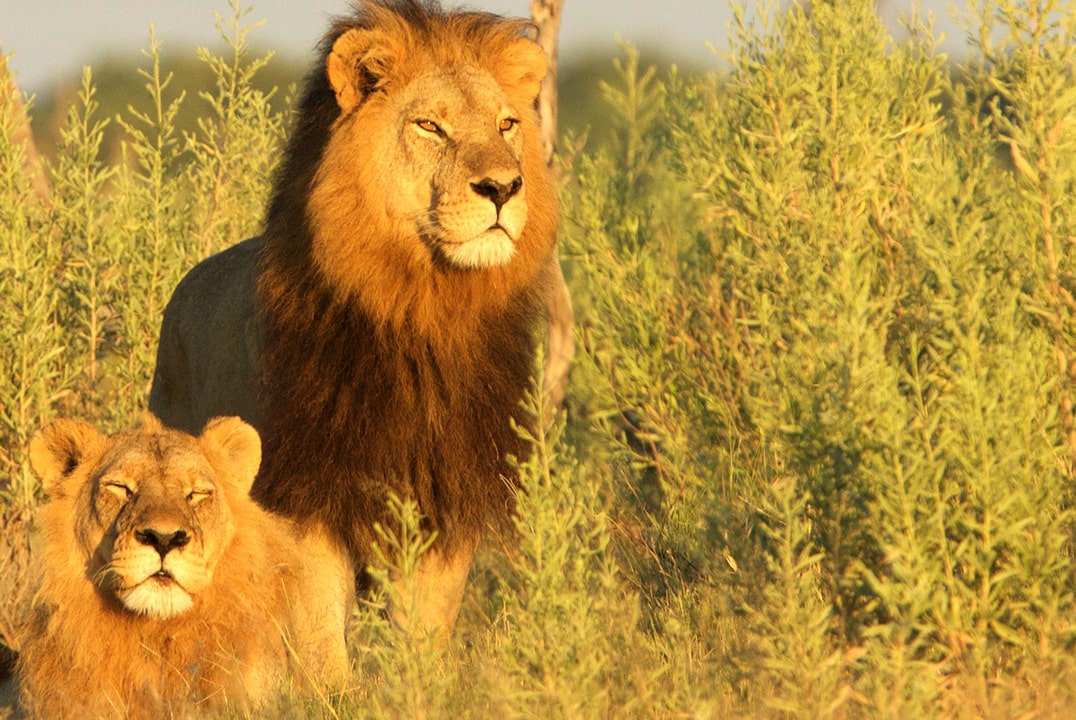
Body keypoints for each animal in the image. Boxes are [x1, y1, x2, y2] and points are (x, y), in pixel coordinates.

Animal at [150, 1, 563, 641]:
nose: (503, 187)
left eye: (506, 125)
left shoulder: (445, 502)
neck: (424, 310)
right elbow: (322, 642)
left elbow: (423, 634)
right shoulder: (307, 502)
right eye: (429, 126)